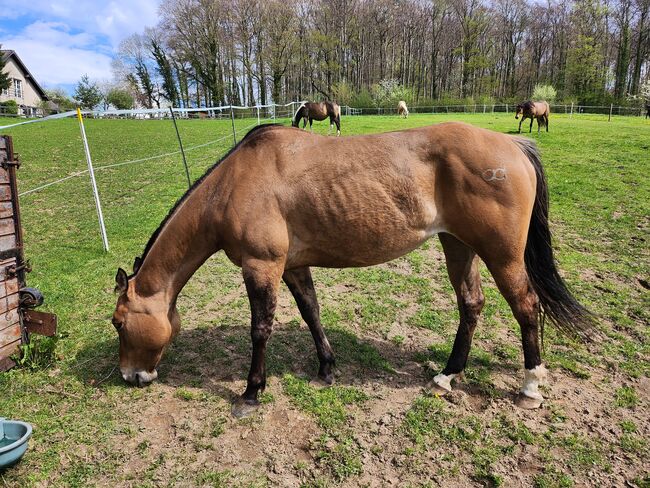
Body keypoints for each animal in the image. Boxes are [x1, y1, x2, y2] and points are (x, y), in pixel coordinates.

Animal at [112, 123, 592, 420]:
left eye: (118, 323)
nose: (131, 377)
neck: (236, 183)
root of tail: (513, 145)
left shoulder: (261, 267)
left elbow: (260, 329)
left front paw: (251, 393)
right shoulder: (294, 266)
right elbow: (312, 314)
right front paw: (326, 369)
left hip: (501, 255)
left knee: (526, 306)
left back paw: (530, 386)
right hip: (459, 246)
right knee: (471, 305)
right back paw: (446, 377)